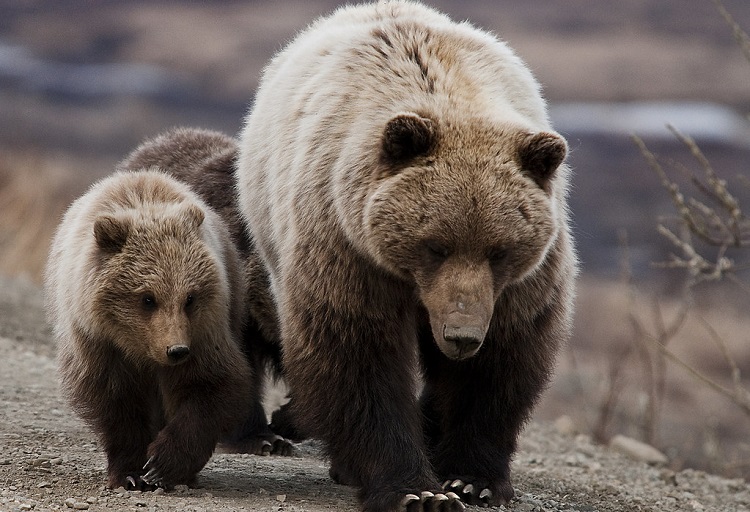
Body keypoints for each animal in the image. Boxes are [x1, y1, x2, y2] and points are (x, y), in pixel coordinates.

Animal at [47, 170, 258, 490]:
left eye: (189, 298)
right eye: (147, 298)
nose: (177, 350)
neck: (140, 348)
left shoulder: (204, 333)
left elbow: (209, 386)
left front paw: (163, 465)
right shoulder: (99, 343)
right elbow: (116, 403)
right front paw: (131, 472)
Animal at [238, 2, 580, 510]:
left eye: (499, 250)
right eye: (435, 244)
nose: (461, 335)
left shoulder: (519, 284)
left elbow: (501, 361)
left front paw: (471, 479)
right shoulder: (347, 245)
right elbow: (359, 357)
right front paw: (414, 489)